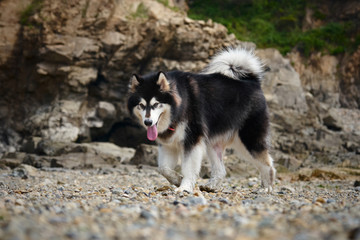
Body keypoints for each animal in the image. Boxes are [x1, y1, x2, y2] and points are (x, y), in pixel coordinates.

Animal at [127, 47, 276, 193]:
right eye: (141, 105)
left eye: (156, 104)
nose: (148, 122)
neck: (179, 107)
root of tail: (252, 81)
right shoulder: (168, 144)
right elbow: (163, 169)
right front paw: (177, 179)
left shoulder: (192, 140)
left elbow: (188, 168)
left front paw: (185, 187)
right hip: (213, 143)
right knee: (221, 170)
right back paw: (211, 186)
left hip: (248, 140)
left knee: (268, 163)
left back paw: (267, 187)